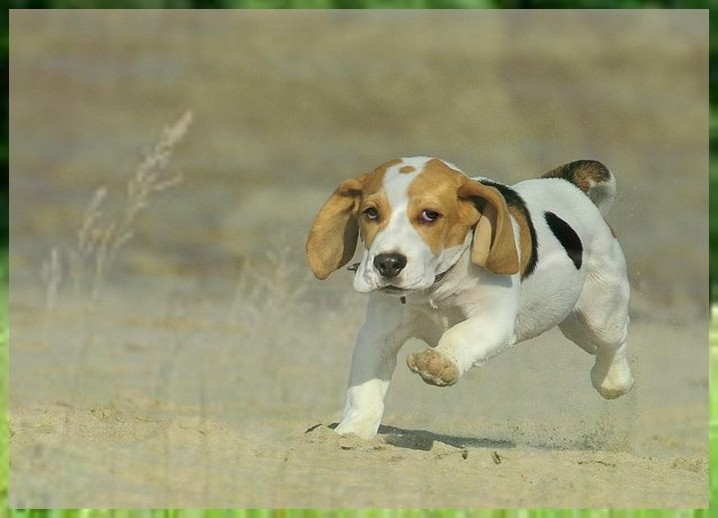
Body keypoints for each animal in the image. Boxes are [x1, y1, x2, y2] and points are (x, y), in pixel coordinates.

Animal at [306, 157, 632, 438]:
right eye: (370, 213)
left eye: (430, 215)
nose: (387, 264)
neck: (438, 284)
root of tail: (566, 183)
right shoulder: (379, 332)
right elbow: (365, 387)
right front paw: (352, 431)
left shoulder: (494, 321)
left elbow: (459, 334)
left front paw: (439, 363)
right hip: (568, 319)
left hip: (602, 310)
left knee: (613, 343)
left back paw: (613, 381)